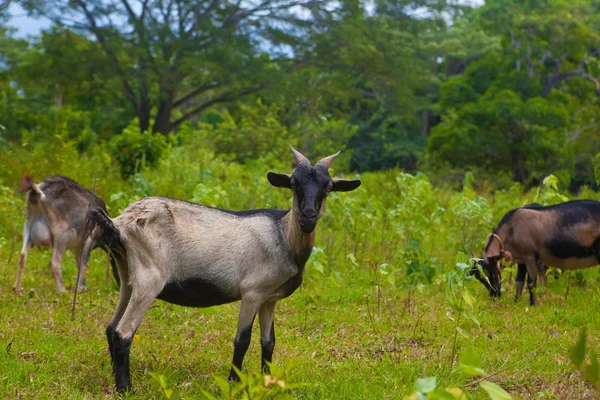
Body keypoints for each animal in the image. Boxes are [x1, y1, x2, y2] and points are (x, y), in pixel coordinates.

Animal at [88, 145, 360, 392]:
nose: (308, 217)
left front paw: (268, 382)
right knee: (123, 332)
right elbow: (242, 340)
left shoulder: (269, 299)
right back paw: (125, 389)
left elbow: (269, 341)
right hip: (149, 279)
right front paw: (233, 383)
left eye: (328, 187)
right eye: (293, 184)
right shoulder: (252, 292)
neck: (283, 236)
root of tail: (120, 222)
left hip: (128, 278)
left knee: (111, 328)